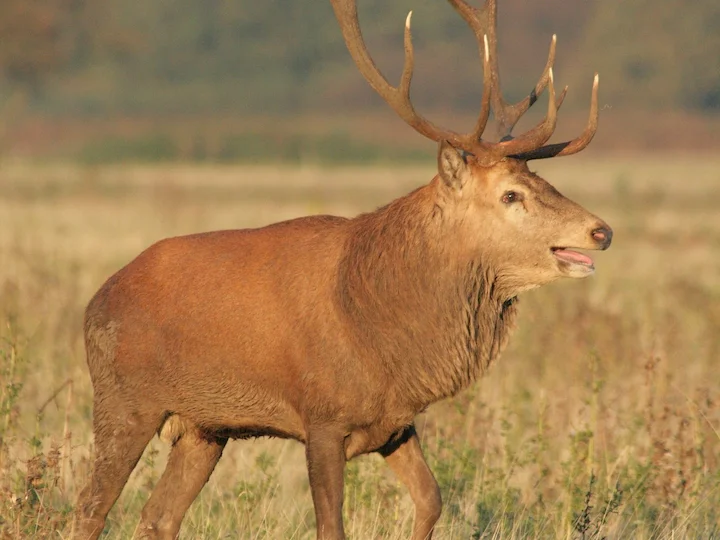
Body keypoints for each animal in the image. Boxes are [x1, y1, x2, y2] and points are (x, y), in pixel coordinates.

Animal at [73, 0, 612, 539]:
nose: (601, 231)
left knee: (157, 516)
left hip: (205, 427)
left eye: (541, 178)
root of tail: (96, 300)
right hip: (124, 400)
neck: (378, 328)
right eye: (510, 194)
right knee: (90, 507)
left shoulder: (395, 421)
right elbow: (332, 524)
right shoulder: (322, 417)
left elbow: (431, 499)